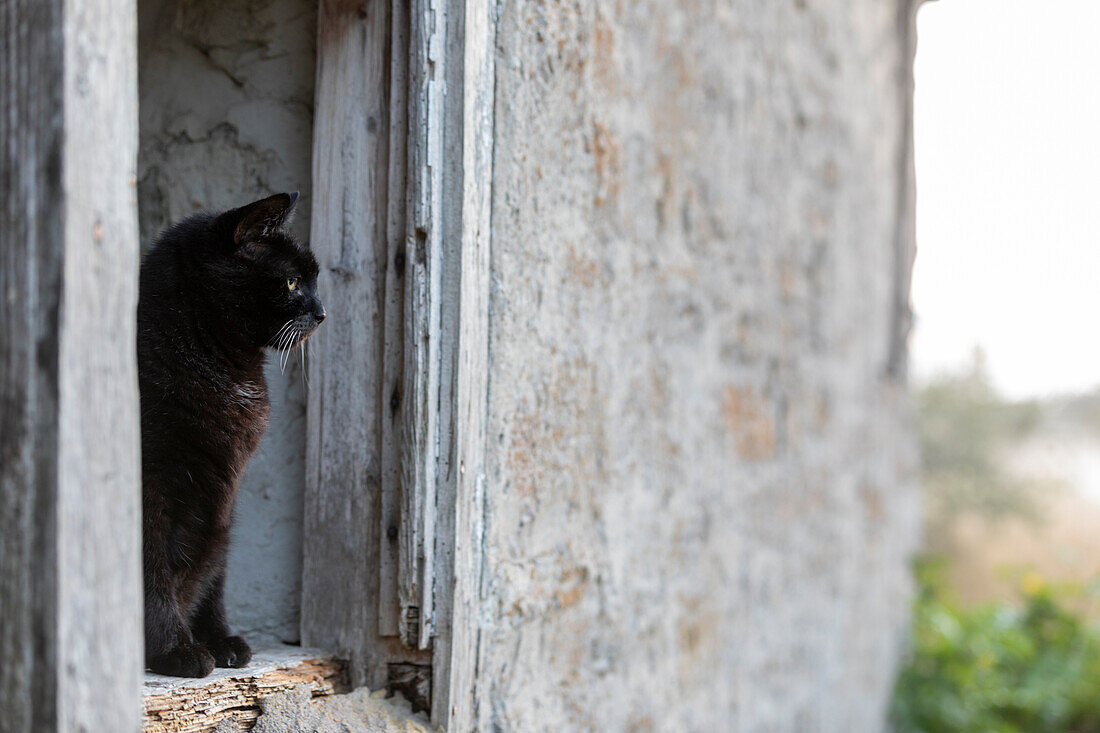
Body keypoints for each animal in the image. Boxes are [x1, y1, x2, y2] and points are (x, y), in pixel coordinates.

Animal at [136, 192, 321, 673]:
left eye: (312, 280)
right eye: (292, 283)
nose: (322, 312)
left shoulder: (223, 495)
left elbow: (215, 571)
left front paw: (219, 640)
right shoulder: (150, 484)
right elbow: (151, 569)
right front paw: (176, 650)